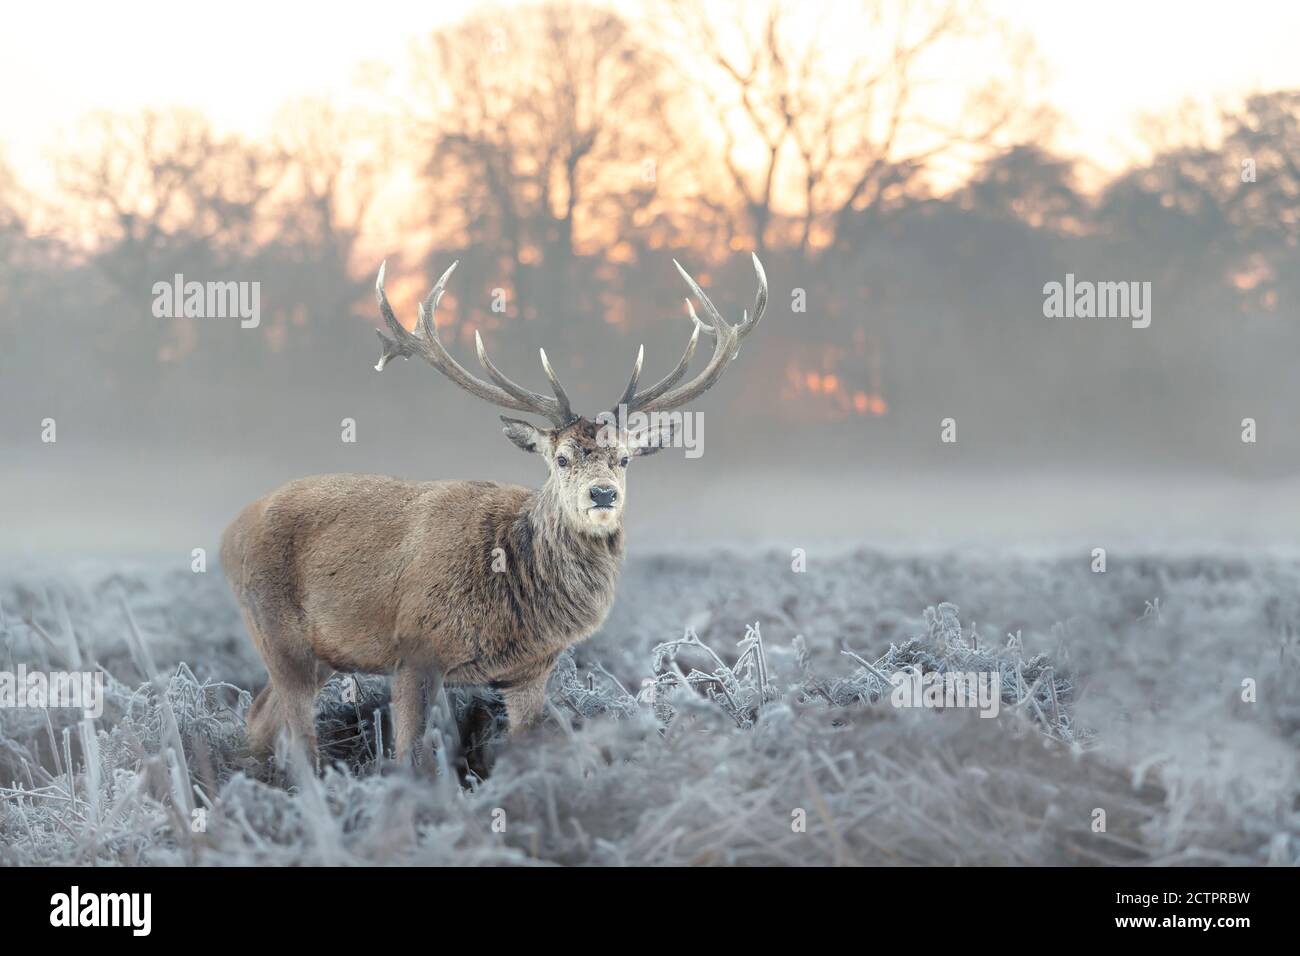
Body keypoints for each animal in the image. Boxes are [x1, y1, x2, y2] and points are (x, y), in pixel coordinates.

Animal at [219, 252, 764, 764]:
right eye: (561, 458)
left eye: (625, 458)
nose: (603, 494)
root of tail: (228, 533)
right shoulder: (415, 651)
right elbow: (408, 757)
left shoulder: (532, 670)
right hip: (273, 627)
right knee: (295, 732)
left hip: (320, 653)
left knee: (259, 715)